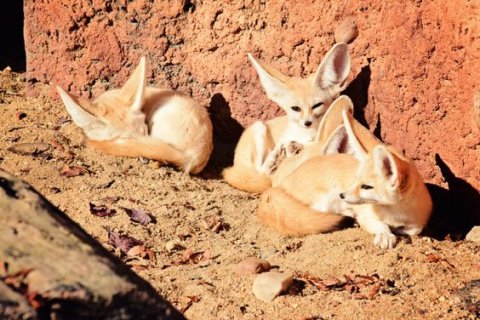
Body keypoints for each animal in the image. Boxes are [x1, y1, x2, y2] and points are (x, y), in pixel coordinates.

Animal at [223, 42, 350, 192]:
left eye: (317, 105)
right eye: (295, 108)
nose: (307, 123)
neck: (306, 135)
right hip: (259, 126)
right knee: (259, 171)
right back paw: (272, 160)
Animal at [258, 109, 436, 249]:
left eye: (366, 187)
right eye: (355, 179)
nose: (342, 195)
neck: (395, 212)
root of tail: (273, 189)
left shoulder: (418, 222)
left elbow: (413, 230)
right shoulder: (365, 217)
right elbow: (380, 225)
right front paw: (385, 234)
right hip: (326, 198)